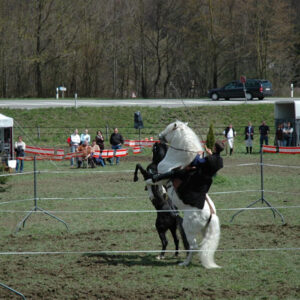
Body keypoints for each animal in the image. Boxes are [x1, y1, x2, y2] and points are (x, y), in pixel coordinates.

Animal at [148, 120, 220, 268]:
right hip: (204, 231)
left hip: (188, 229)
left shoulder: (161, 175)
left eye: (169, 128)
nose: (159, 136)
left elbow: (151, 180)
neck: (179, 160)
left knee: (193, 246)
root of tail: (211, 215)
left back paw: (185, 262)